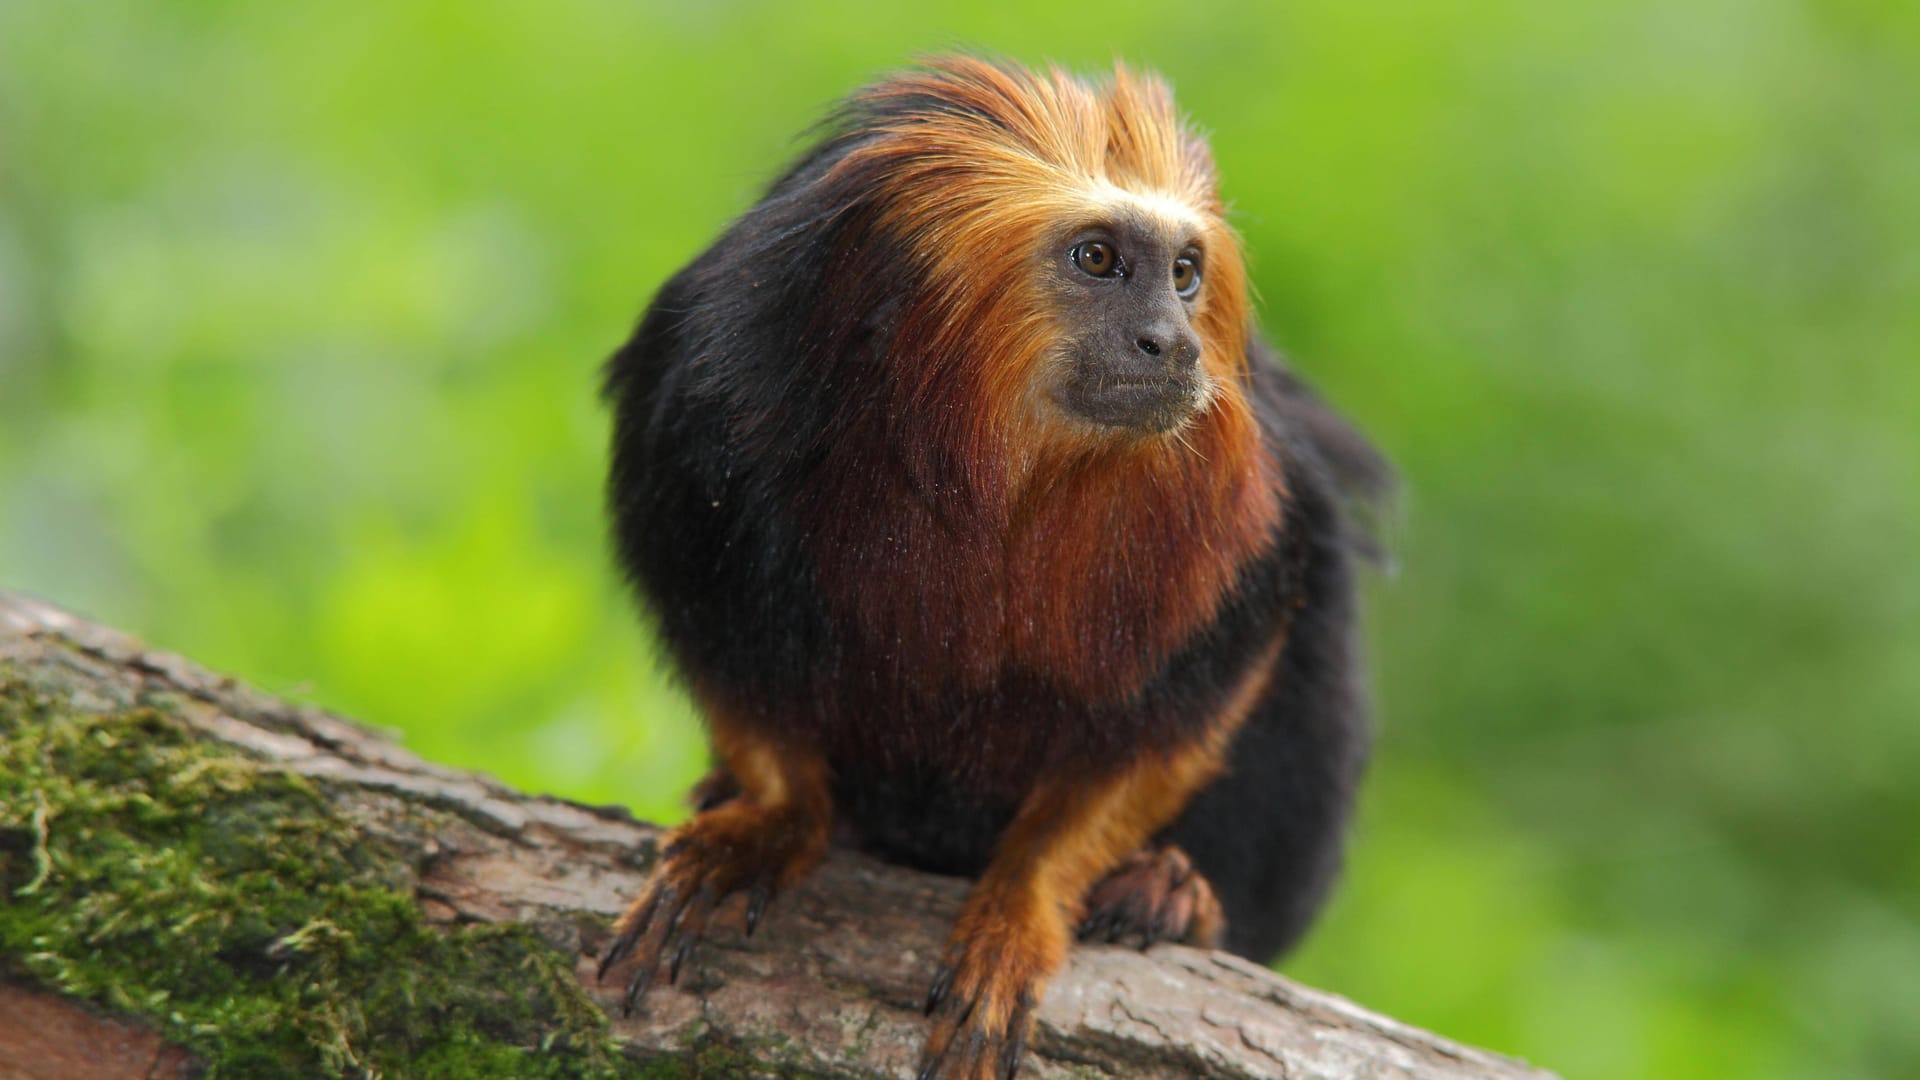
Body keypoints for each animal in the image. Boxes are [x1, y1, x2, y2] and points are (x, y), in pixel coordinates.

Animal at [591, 56, 1390, 1076]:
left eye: (1182, 274)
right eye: (1098, 260)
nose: (1172, 344)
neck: (976, 452)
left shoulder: (1255, 516)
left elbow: (1183, 711)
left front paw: (1026, 903)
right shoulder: (705, 415)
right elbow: (731, 652)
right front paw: (768, 816)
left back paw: (1173, 891)